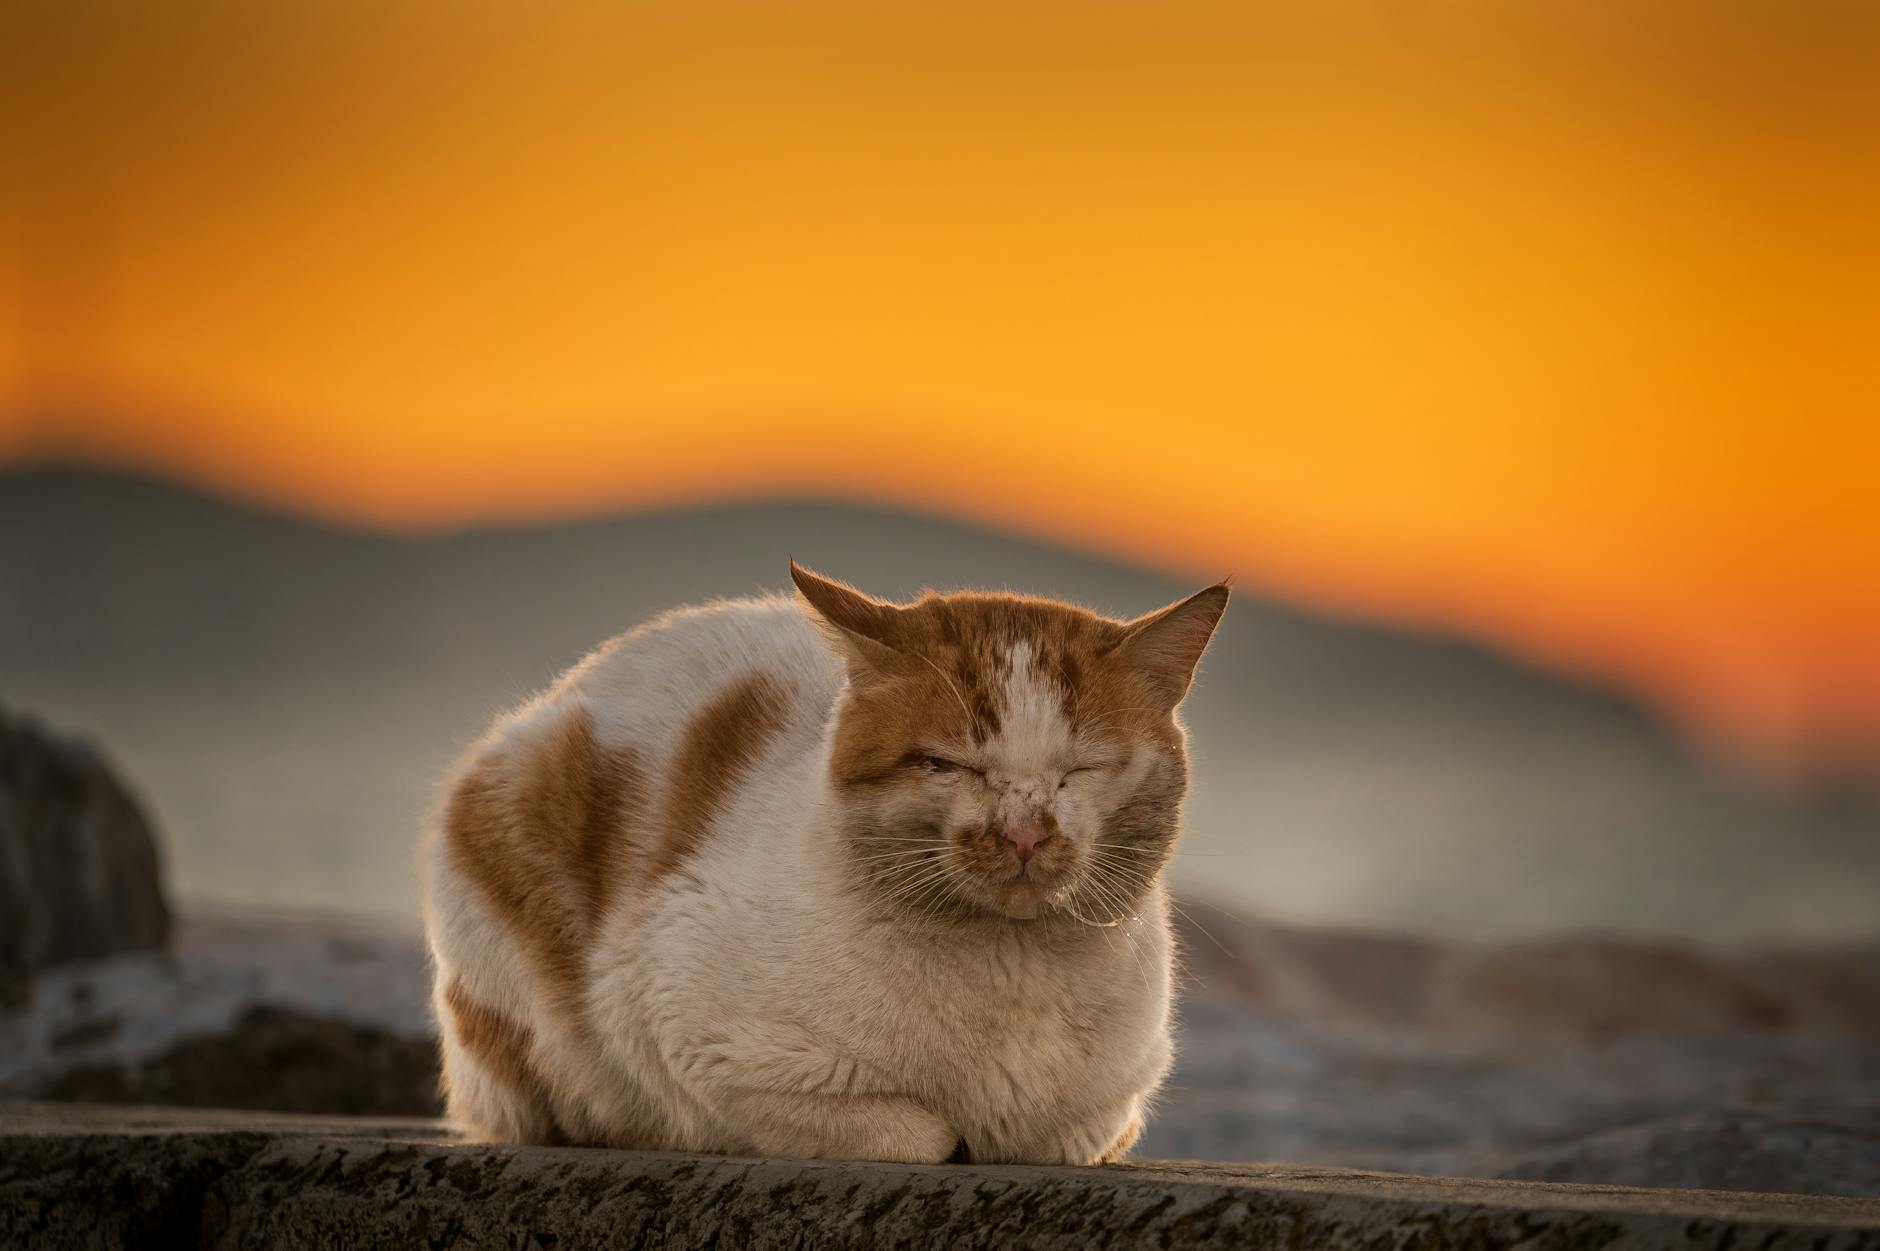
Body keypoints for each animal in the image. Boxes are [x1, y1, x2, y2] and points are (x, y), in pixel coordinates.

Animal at [419, 556, 1225, 1158]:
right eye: (948, 764)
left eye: (1081, 770)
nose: (1025, 832)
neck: (1016, 977)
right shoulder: (690, 1036)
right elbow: (922, 1135)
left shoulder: (1109, 1109)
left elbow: (1063, 1133)